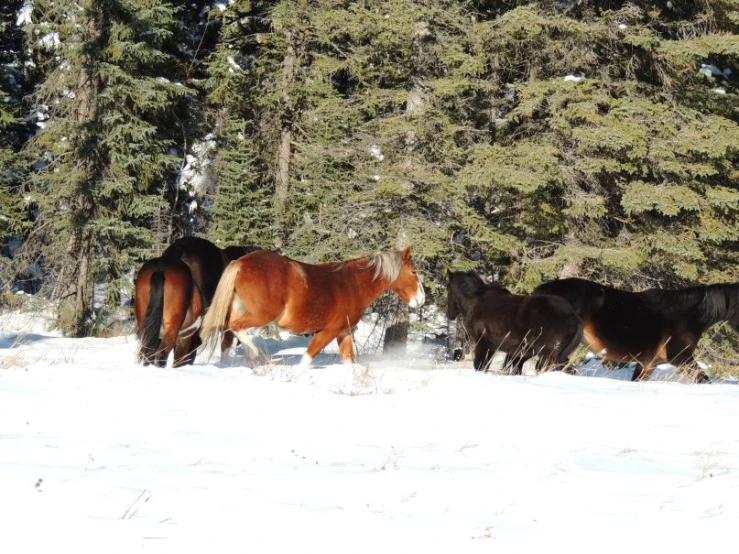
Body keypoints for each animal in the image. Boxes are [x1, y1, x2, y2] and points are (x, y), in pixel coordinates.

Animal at [199, 248, 424, 364]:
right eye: (413, 272)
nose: (421, 300)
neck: (353, 284)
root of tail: (240, 262)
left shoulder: (344, 332)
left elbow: (351, 363)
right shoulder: (328, 331)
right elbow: (307, 359)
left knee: (227, 337)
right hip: (262, 314)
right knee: (234, 328)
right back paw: (254, 353)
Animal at [446, 270, 584, 370]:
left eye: (448, 289)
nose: (449, 314)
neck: (475, 301)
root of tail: (574, 317)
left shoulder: (482, 343)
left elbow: (480, 365)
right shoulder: (493, 347)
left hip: (548, 355)